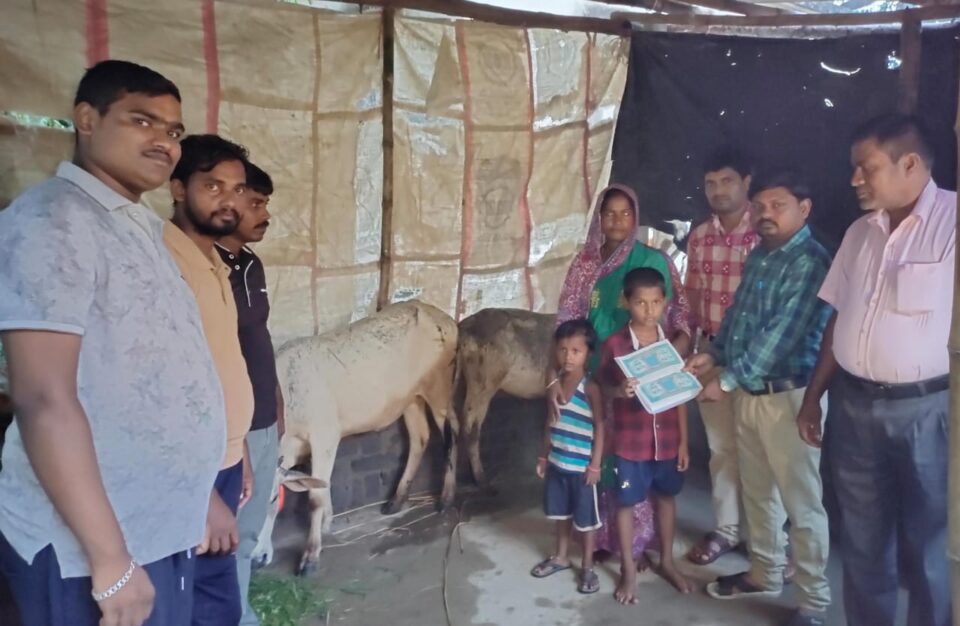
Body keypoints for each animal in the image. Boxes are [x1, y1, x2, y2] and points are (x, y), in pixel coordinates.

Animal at [252, 300, 458, 575]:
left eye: (274, 497)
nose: (257, 558)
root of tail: (439, 314)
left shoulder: (325, 436)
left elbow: (315, 497)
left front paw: (311, 556)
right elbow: (321, 485)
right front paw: (327, 522)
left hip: (439, 389)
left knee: (452, 435)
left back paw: (445, 499)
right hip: (410, 399)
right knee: (420, 438)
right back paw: (396, 500)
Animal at [441, 308, 555, 511]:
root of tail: (463, 329)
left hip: (457, 379)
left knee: (452, 424)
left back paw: (446, 498)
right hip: (483, 382)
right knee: (469, 427)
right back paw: (484, 484)